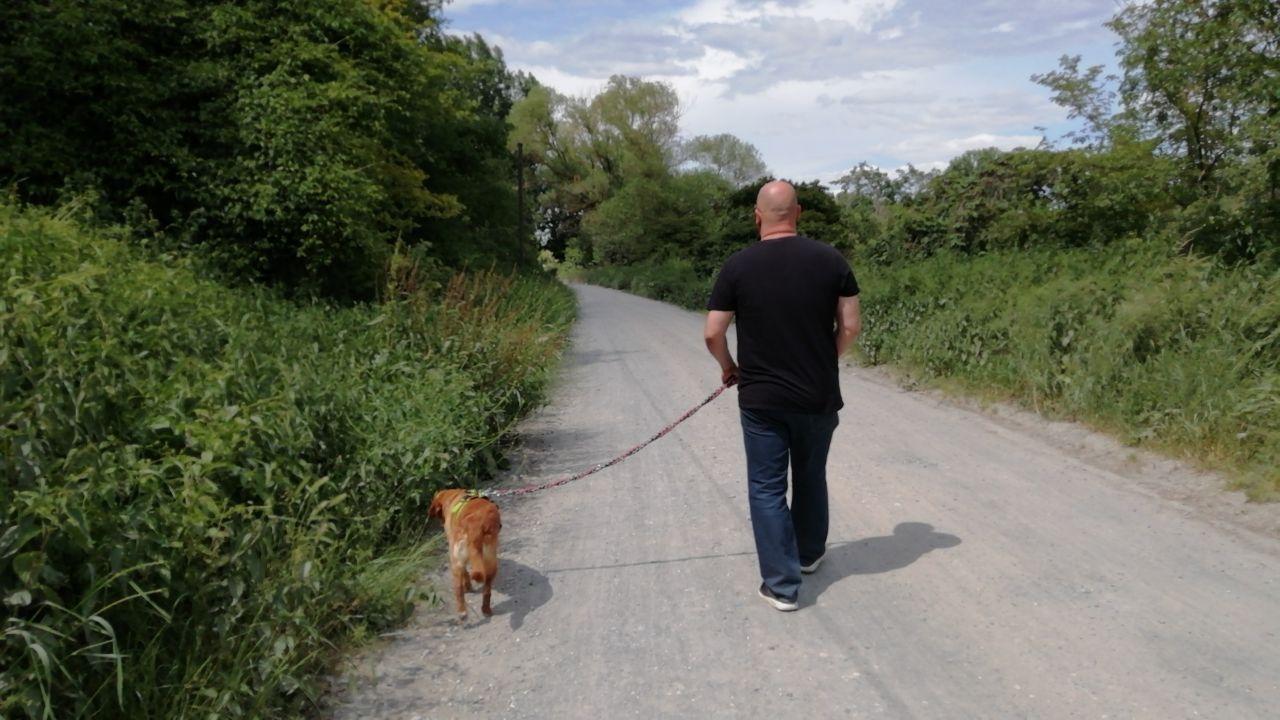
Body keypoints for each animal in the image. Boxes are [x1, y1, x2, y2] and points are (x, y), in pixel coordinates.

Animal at [430, 486, 499, 617]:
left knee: (458, 589)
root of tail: (475, 527)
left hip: (455, 561)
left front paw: (467, 586)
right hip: (491, 561)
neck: (452, 497)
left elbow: (465, 574)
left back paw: (462, 611)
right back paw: (486, 609)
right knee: (487, 591)